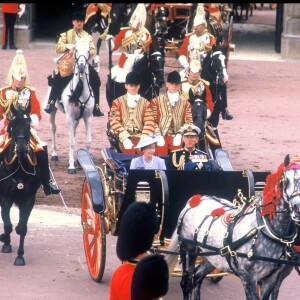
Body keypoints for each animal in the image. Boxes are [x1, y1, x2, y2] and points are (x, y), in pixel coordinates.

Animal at [0, 102, 41, 264]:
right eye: (12, 125)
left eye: (28, 124)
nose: (23, 149)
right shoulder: (5, 198)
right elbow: (7, 225)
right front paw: (5, 241)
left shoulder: (28, 199)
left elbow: (22, 227)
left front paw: (20, 256)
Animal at [47, 36, 94, 175]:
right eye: (76, 49)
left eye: (88, 50)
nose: (82, 66)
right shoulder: (69, 117)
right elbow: (72, 142)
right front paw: (71, 166)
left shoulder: (88, 117)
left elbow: (88, 141)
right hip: (53, 112)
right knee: (54, 128)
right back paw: (55, 154)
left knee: (73, 130)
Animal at [166, 155, 300, 300]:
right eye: (285, 180)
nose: (298, 208)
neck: (266, 230)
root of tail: (194, 201)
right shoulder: (248, 278)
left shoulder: (272, 278)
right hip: (188, 250)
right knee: (186, 282)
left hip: (212, 257)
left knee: (197, 276)